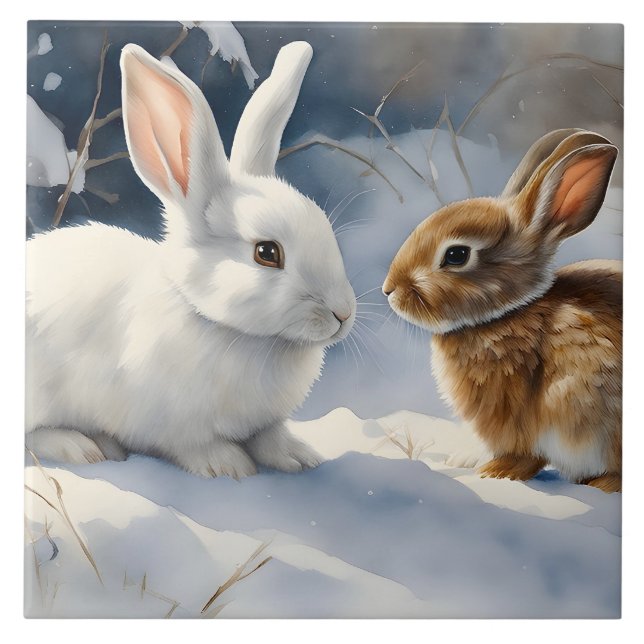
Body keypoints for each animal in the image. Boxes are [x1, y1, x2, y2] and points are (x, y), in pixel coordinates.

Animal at [25, 42, 356, 478]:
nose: (343, 314)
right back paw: (82, 447)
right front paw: (227, 465)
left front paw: (298, 456)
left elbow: (269, 436)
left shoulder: (263, 422)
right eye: (267, 253)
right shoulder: (165, 419)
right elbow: (190, 445)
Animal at [383, 128, 621, 493]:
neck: (507, 313)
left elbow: (523, 454)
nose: (389, 290)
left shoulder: (516, 413)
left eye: (456, 255)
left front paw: (493, 473)